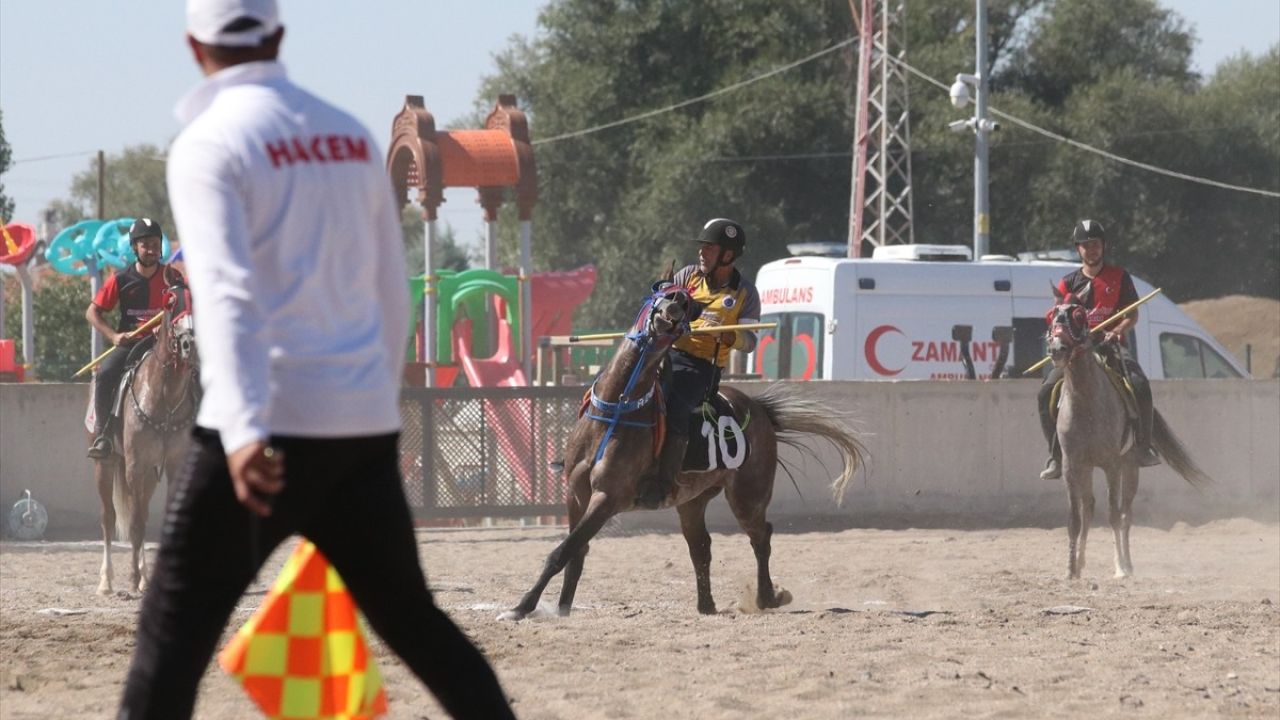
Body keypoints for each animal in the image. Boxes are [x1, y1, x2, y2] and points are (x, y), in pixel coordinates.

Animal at [91, 278, 197, 591]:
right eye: (170, 301)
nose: (188, 344)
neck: (164, 397)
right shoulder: (135, 467)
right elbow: (136, 524)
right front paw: (133, 578)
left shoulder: (172, 465)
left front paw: (147, 578)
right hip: (106, 464)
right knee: (108, 518)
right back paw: (107, 581)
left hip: (149, 474)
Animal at [496, 281, 860, 617]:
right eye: (662, 292)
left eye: (689, 306)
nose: (674, 306)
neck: (618, 408)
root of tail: (760, 410)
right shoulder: (576, 494)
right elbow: (576, 553)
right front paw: (561, 609)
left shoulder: (608, 497)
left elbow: (562, 551)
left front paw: (521, 607)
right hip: (692, 501)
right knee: (701, 547)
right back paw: (707, 605)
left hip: (748, 496)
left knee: (761, 536)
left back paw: (767, 597)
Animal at [1044, 293, 1213, 576]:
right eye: (1052, 316)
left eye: (1078, 316)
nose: (1057, 348)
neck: (1086, 403)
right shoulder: (1071, 465)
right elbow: (1075, 518)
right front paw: (1071, 570)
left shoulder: (1112, 464)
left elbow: (1114, 514)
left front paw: (1120, 567)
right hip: (1087, 468)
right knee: (1088, 508)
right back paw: (1082, 561)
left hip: (1130, 466)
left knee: (1125, 513)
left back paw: (1127, 563)